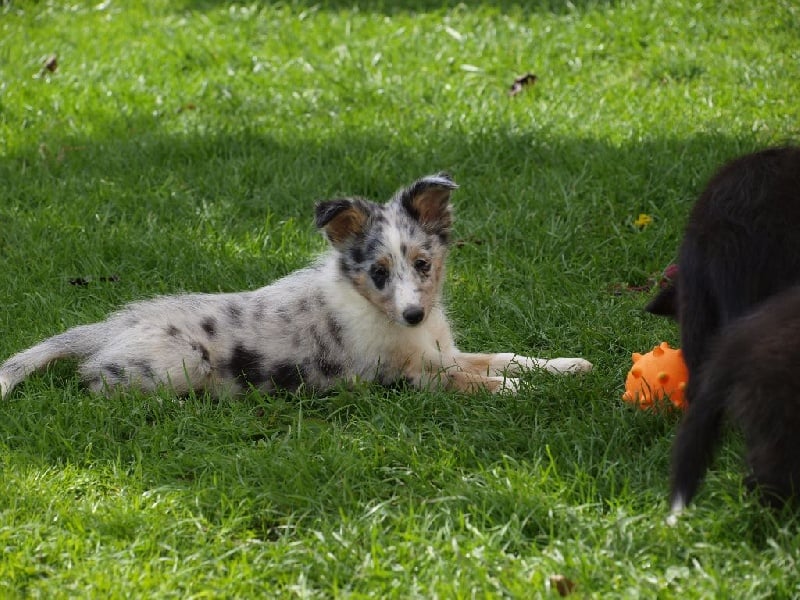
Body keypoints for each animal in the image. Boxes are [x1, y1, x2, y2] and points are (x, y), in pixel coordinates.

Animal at [0, 173, 592, 400]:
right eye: (378, 273)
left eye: (423, 264)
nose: (414, 315)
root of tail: (109, 327)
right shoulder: (405, 378)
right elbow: (480, 382)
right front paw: (526, 392)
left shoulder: (443, 352)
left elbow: (505, 357)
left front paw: (567, 368)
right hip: (175, 363)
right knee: (95, 381)